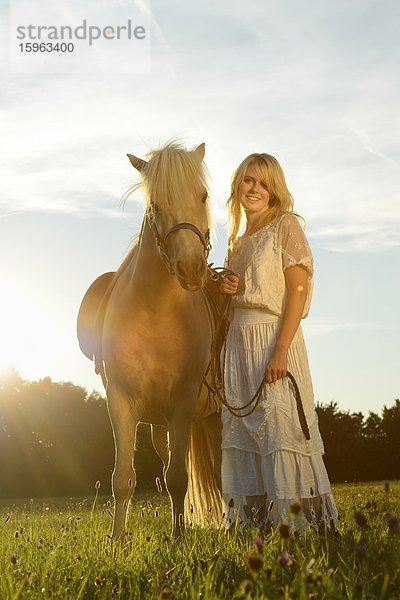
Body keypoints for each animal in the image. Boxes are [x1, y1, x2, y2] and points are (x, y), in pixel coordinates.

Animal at [77, 142, 222, 540]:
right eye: (155, 204)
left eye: (203, 196)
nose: (191, 269)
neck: (156, 312)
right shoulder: (121, 401)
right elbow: (123, 479)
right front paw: (116, 543)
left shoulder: (184, 402)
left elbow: (177, 479)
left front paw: (179, 539)